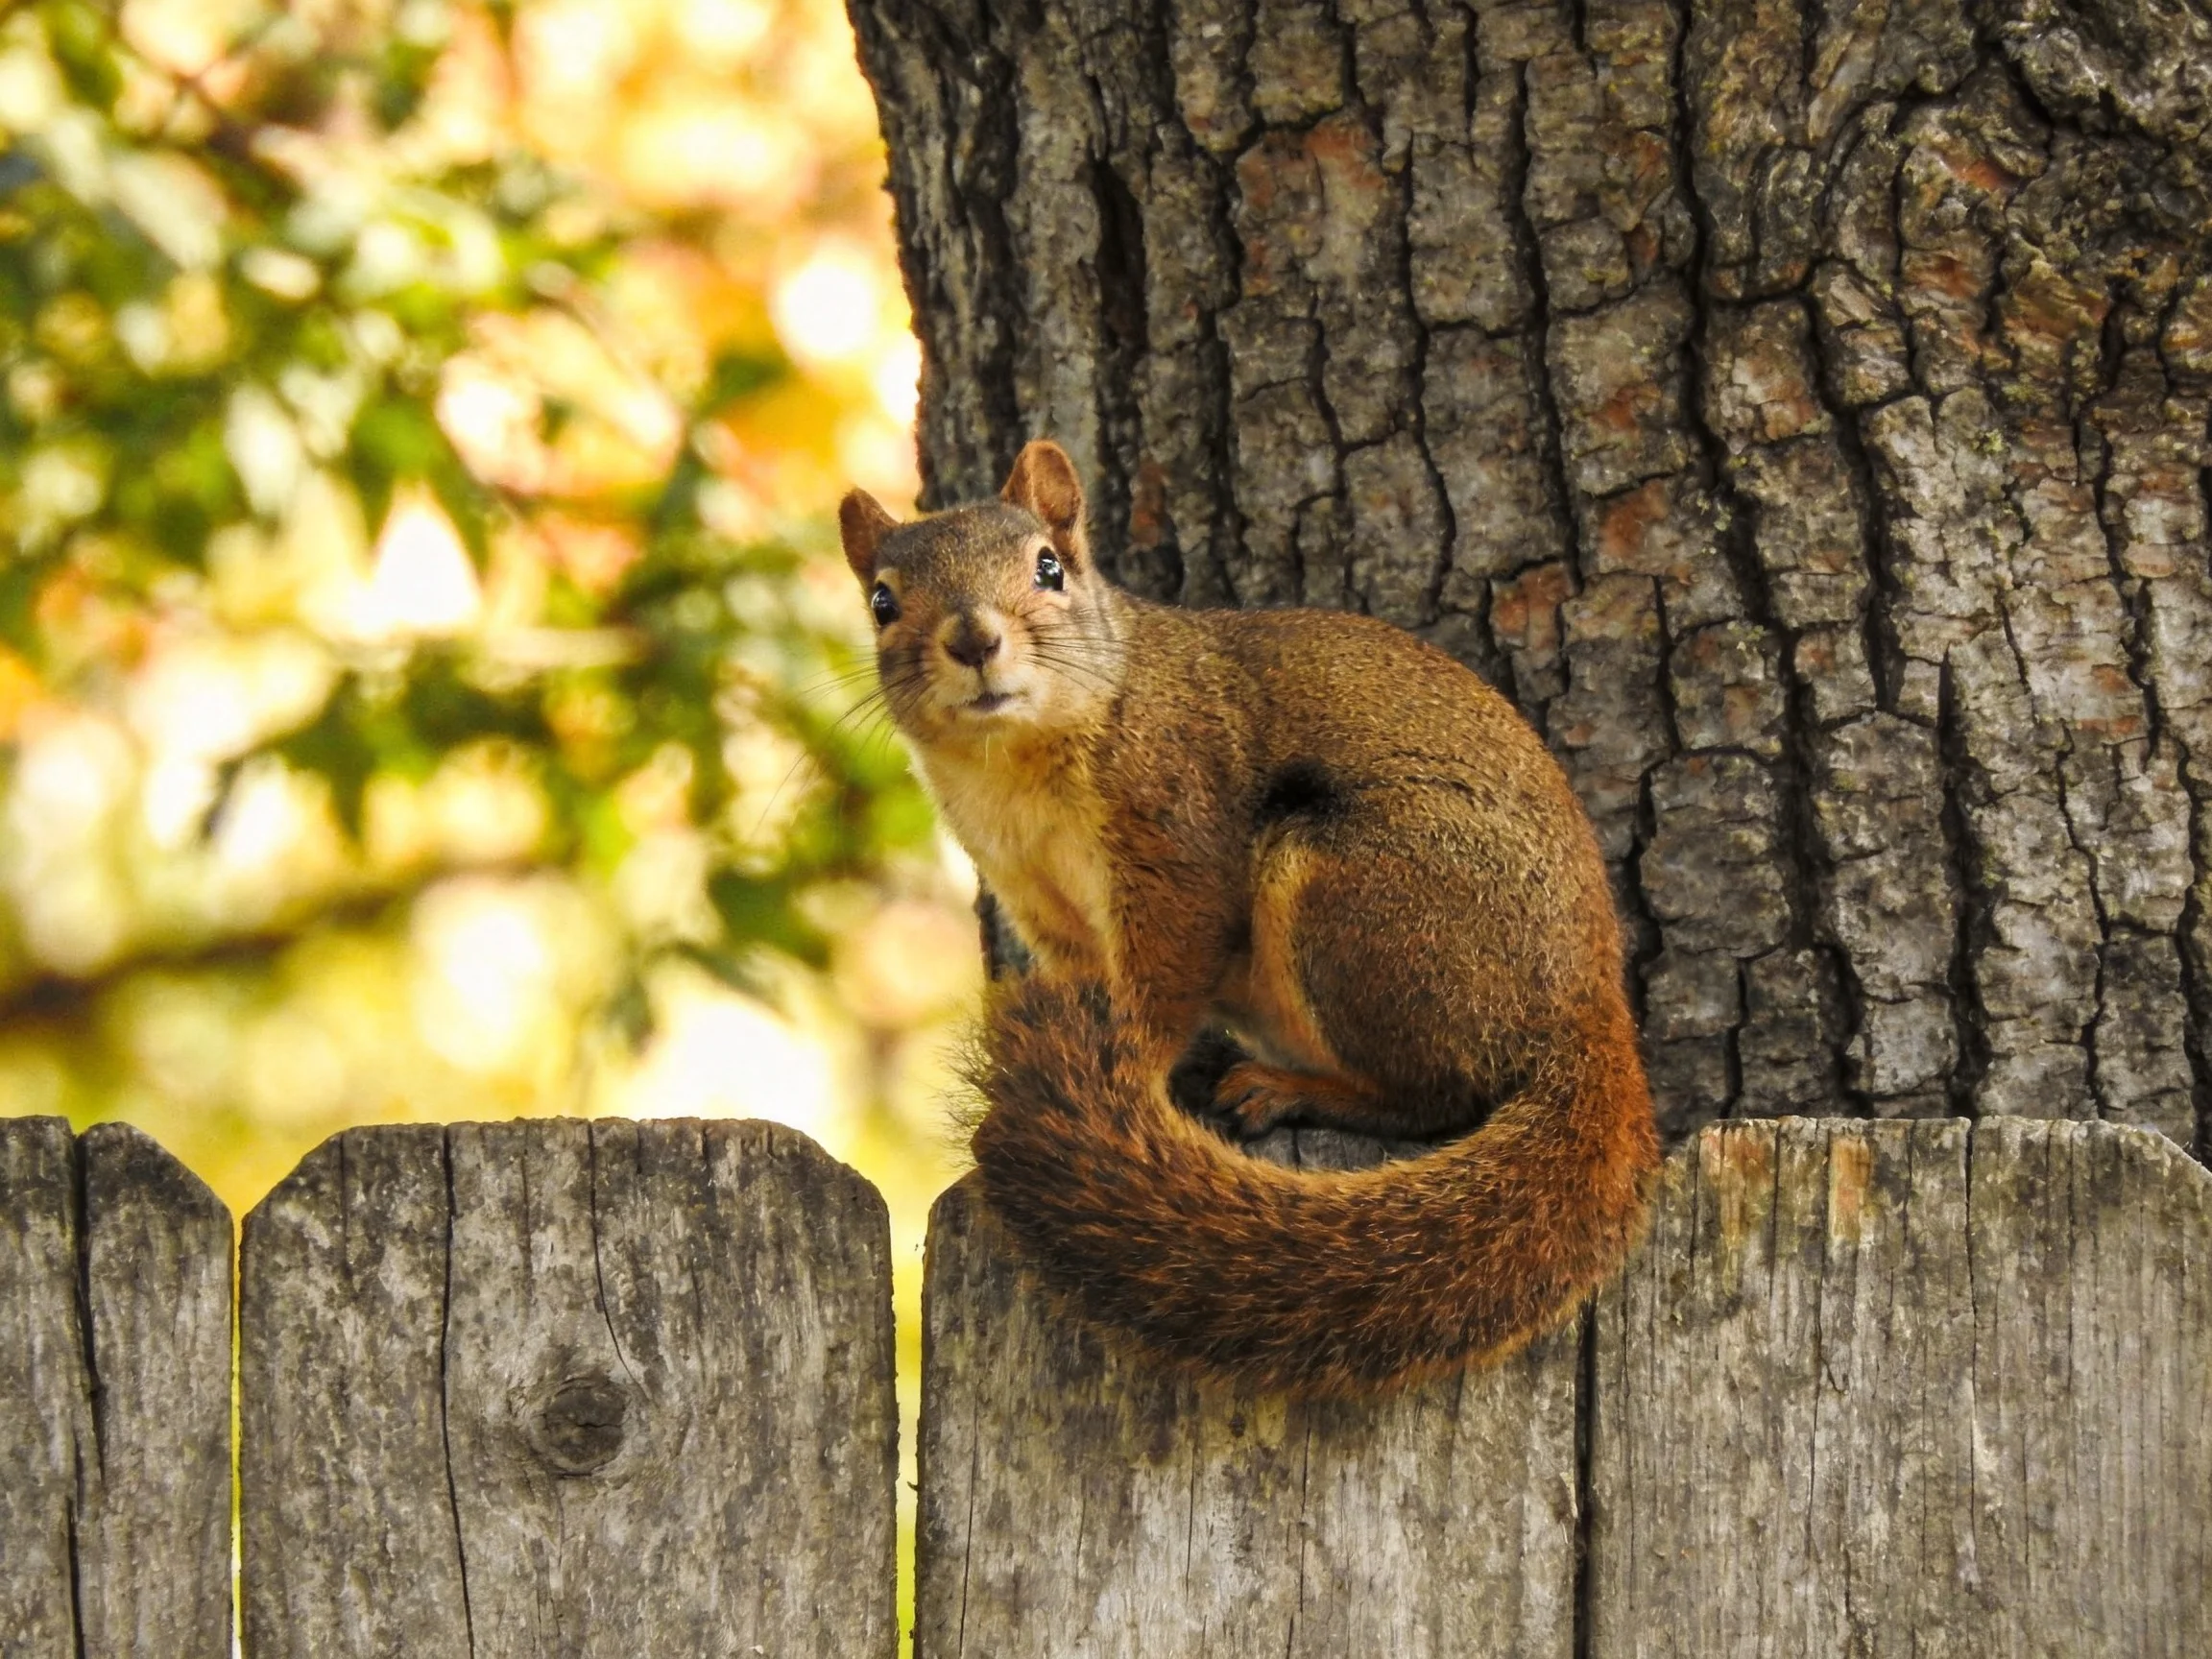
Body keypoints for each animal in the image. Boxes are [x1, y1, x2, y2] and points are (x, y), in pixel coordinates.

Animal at [839, 439, 1660, 1397]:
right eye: (883, 601)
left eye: (1048, 567)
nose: (973, 639)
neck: (1012, 767)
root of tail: (1591, 1007)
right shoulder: (1041, 904)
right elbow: (1088, 981)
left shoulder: (1178, 838)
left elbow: (1165, 980)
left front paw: (1123, 1081)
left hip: (1360, 901)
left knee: (1438, 1094)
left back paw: (1293, 1089)